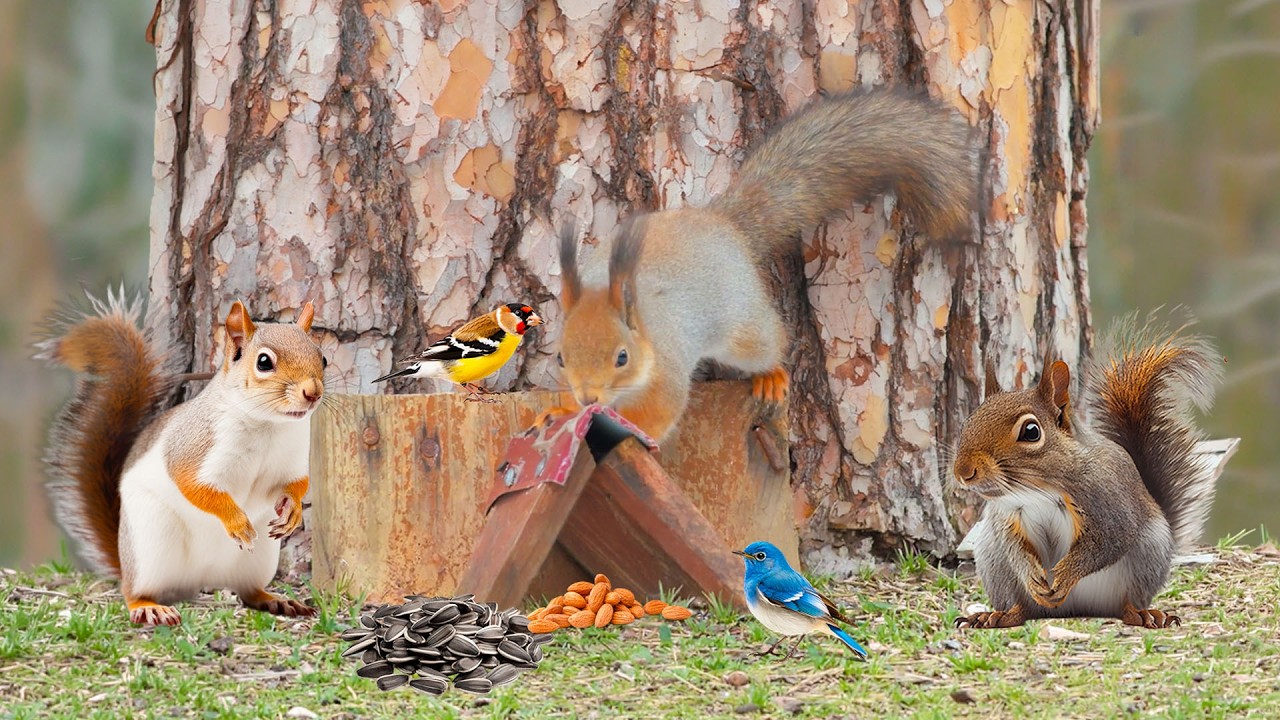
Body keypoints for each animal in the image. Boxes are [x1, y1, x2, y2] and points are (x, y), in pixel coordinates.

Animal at [38, 291, 326, 626]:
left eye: (322, 357)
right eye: (264, 362)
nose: (313, 393)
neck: (268, 425)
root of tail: (203, 579)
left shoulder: (293, 460)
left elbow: (298, 484)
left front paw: (292, 511)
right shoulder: (195, 447)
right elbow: (193, 485)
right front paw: (235, 521)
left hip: (260, 559)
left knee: (249, 591)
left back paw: (276, 600)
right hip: (151, 544)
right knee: (133, 590)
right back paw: (148, 606)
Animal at [556, 87, 978, 442]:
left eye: (622, 357)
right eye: (561, 357)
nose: (587, 397)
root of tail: (724, 222)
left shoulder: (667, 370)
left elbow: (659, 412)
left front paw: (634, 431)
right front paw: (558, 412)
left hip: (745, 327)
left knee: (771, 341)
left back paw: (771, 374)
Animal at [952, 316, 1222, 629]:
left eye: (1031, 432)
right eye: (968, 421)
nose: (963, 471)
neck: (1037, 490)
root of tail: (1072, 610)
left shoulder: (1110, 502)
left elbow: (1107, 542)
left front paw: (1066, 574)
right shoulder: (1005, 517)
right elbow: (1013, 547)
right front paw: (1032, 576)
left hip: (1149, 553)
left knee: (1127, 602)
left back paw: (1141, 614)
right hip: (992, 558)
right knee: (1020, 604)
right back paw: (999, 615)